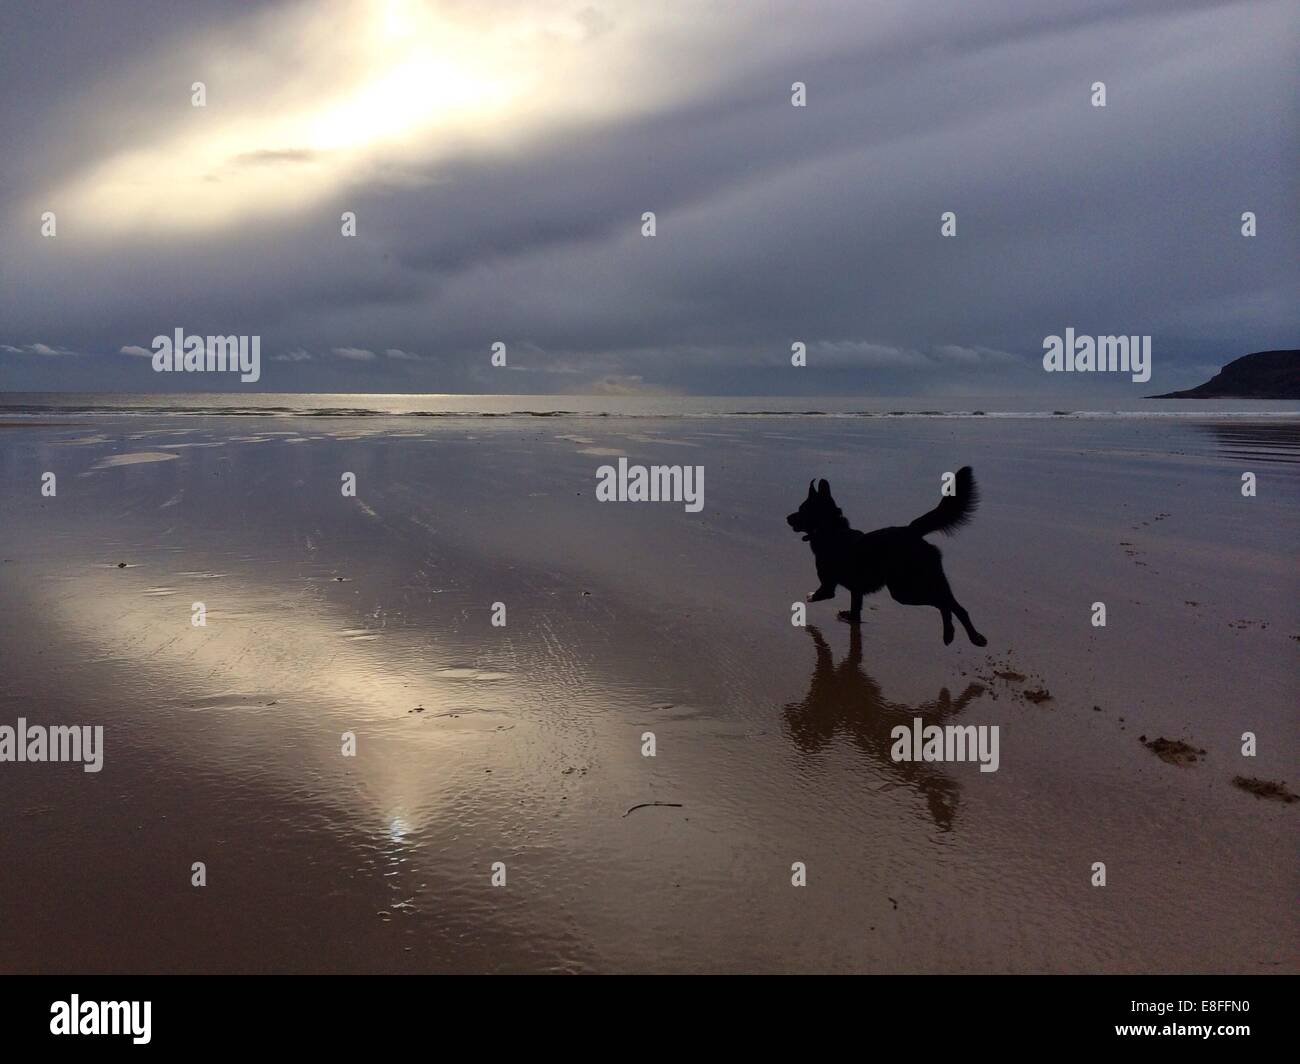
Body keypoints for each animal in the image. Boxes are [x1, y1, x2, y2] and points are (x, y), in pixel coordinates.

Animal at [785, 465, 987, 647]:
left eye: (801, 509)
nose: (787, 518)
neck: (830, 529)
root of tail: (912, 530)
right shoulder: (856, 589)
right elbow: (856, 611)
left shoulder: (828, 587)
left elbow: (820, 595)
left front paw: (811, 596)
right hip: (931, 580)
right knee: (956, 606)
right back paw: (965, 637)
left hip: (904, 590)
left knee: (944, 603)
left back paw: (959, 635)